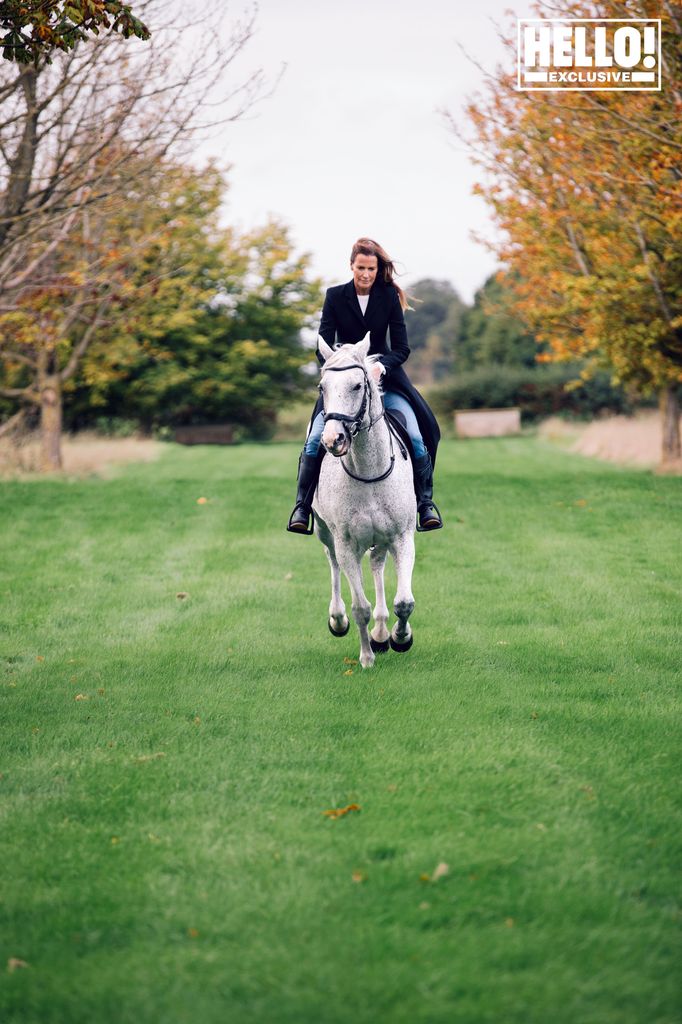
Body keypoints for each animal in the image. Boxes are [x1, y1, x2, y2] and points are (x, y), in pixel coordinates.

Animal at [311, 335, 413, 671]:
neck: (368, 470)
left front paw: (400, 638)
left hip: (381, 539)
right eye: (322, 387)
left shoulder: (402, 537)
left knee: (377, 564)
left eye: (357, 385)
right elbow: (360, 608)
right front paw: (367, 657)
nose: (333, 440)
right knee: (332, 562)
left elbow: (404, 602)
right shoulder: (346, 543)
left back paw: (382, 632)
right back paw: (338, 619)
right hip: (326, 533)